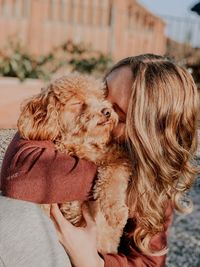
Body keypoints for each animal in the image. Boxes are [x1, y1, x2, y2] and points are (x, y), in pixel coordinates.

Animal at [17, 74, 133, 254]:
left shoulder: (120, 158)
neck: (81, 145)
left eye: (100, 98)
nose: (106, 111)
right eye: (77, 103)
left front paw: (116, 213)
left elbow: (112, 179)